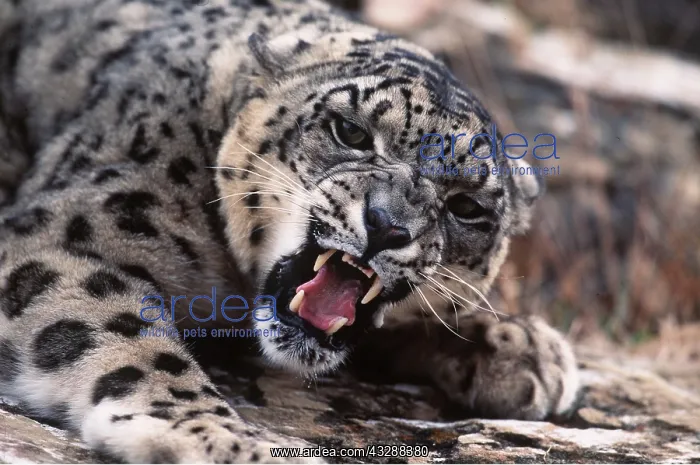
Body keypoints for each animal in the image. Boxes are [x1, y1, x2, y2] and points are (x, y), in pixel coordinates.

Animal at [0, 0, 580, 462]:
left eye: (465, 206)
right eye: (350, 131)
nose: (386, 226)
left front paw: (525, 350)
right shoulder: (57, 242)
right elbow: (130, 339)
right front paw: (222, 438)